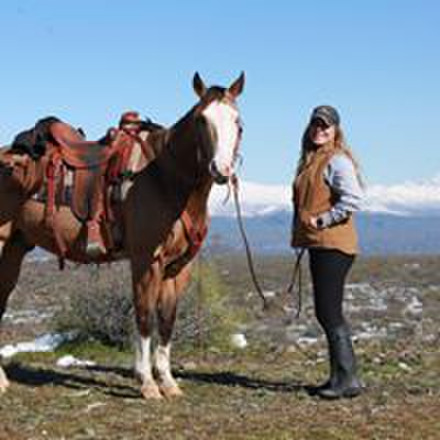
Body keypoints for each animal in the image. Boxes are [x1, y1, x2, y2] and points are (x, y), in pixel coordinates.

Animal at [0, 72, 245, 398]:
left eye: (238, 121)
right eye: (201, 120)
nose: (221, 169)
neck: (164, 178)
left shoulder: (178, 268)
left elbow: (166, 321)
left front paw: (168, 382)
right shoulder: (145, 260)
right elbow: (143, 316)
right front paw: (147, 383)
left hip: (14, 248)